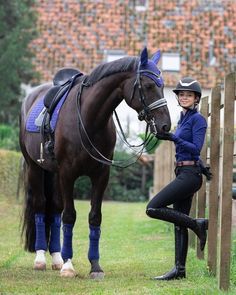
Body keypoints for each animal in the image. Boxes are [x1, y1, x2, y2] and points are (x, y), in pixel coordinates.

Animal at [18, 47, 170, 278]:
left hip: (52, 173)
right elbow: (69, 216)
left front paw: (95, 266)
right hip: (35, 168)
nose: (165, 125)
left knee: (54, 208)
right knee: (40, 205)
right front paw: (68, 265)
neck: (89, 119)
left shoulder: (101, 175)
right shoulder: (68, 174)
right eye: (148, 86)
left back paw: (56, 258)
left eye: (162, 86)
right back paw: (41, 258)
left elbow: (94, 217)